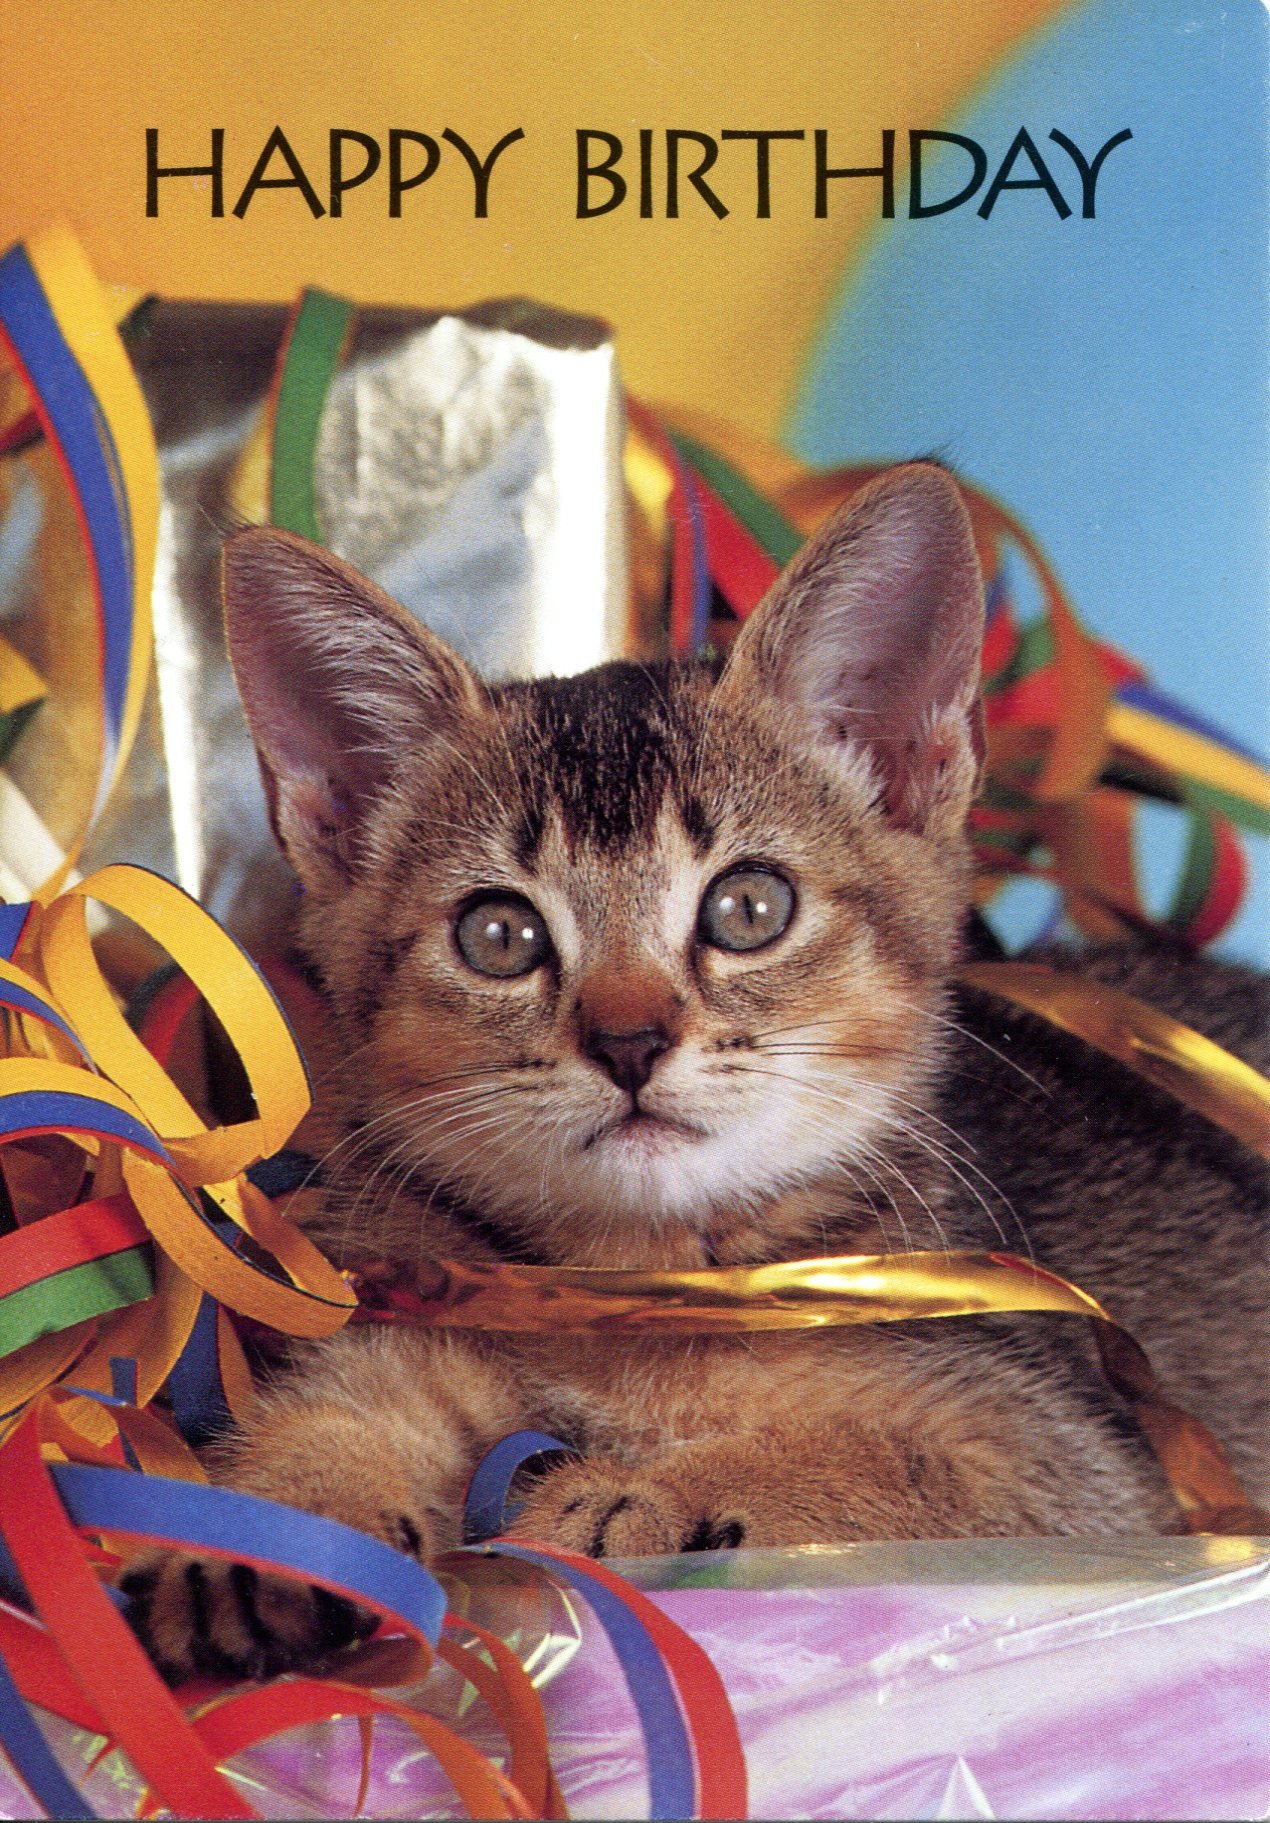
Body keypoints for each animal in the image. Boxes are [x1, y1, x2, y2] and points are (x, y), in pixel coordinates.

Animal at [124, 463, 1268, 1684]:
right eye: (499, 934)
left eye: (749, 907)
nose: (629, 1041)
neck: (640, 1291)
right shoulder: (404, 1333)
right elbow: (323, 1426)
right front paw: (254, 1538)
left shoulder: (1087, 1464)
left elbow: (856, 1459)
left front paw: (624, 1499)